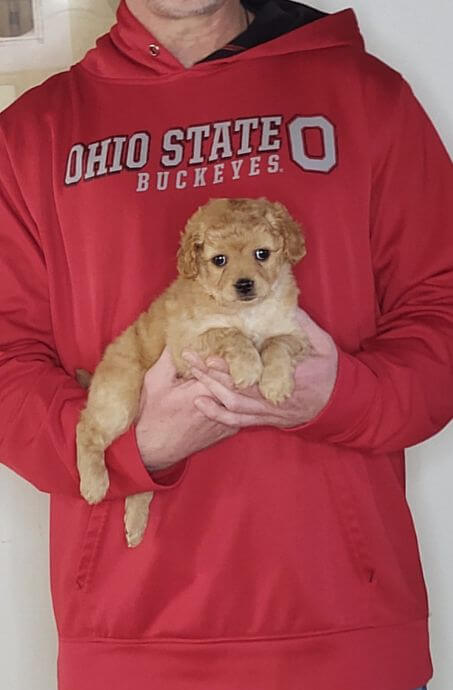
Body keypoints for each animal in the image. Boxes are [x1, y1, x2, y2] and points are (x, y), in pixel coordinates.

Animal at [77, 199, 308, 548]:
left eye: (262, 253)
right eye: (219, 260)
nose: (244, 285)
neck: (247, 311)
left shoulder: (298, 334)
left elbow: (277, 343)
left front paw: (275, 383)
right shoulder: (188, 344)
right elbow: (230, 334)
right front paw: (248, 367)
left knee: (142, 482)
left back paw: (135, 524)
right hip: (119, 402)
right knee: (86, 429)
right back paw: (94, 485)